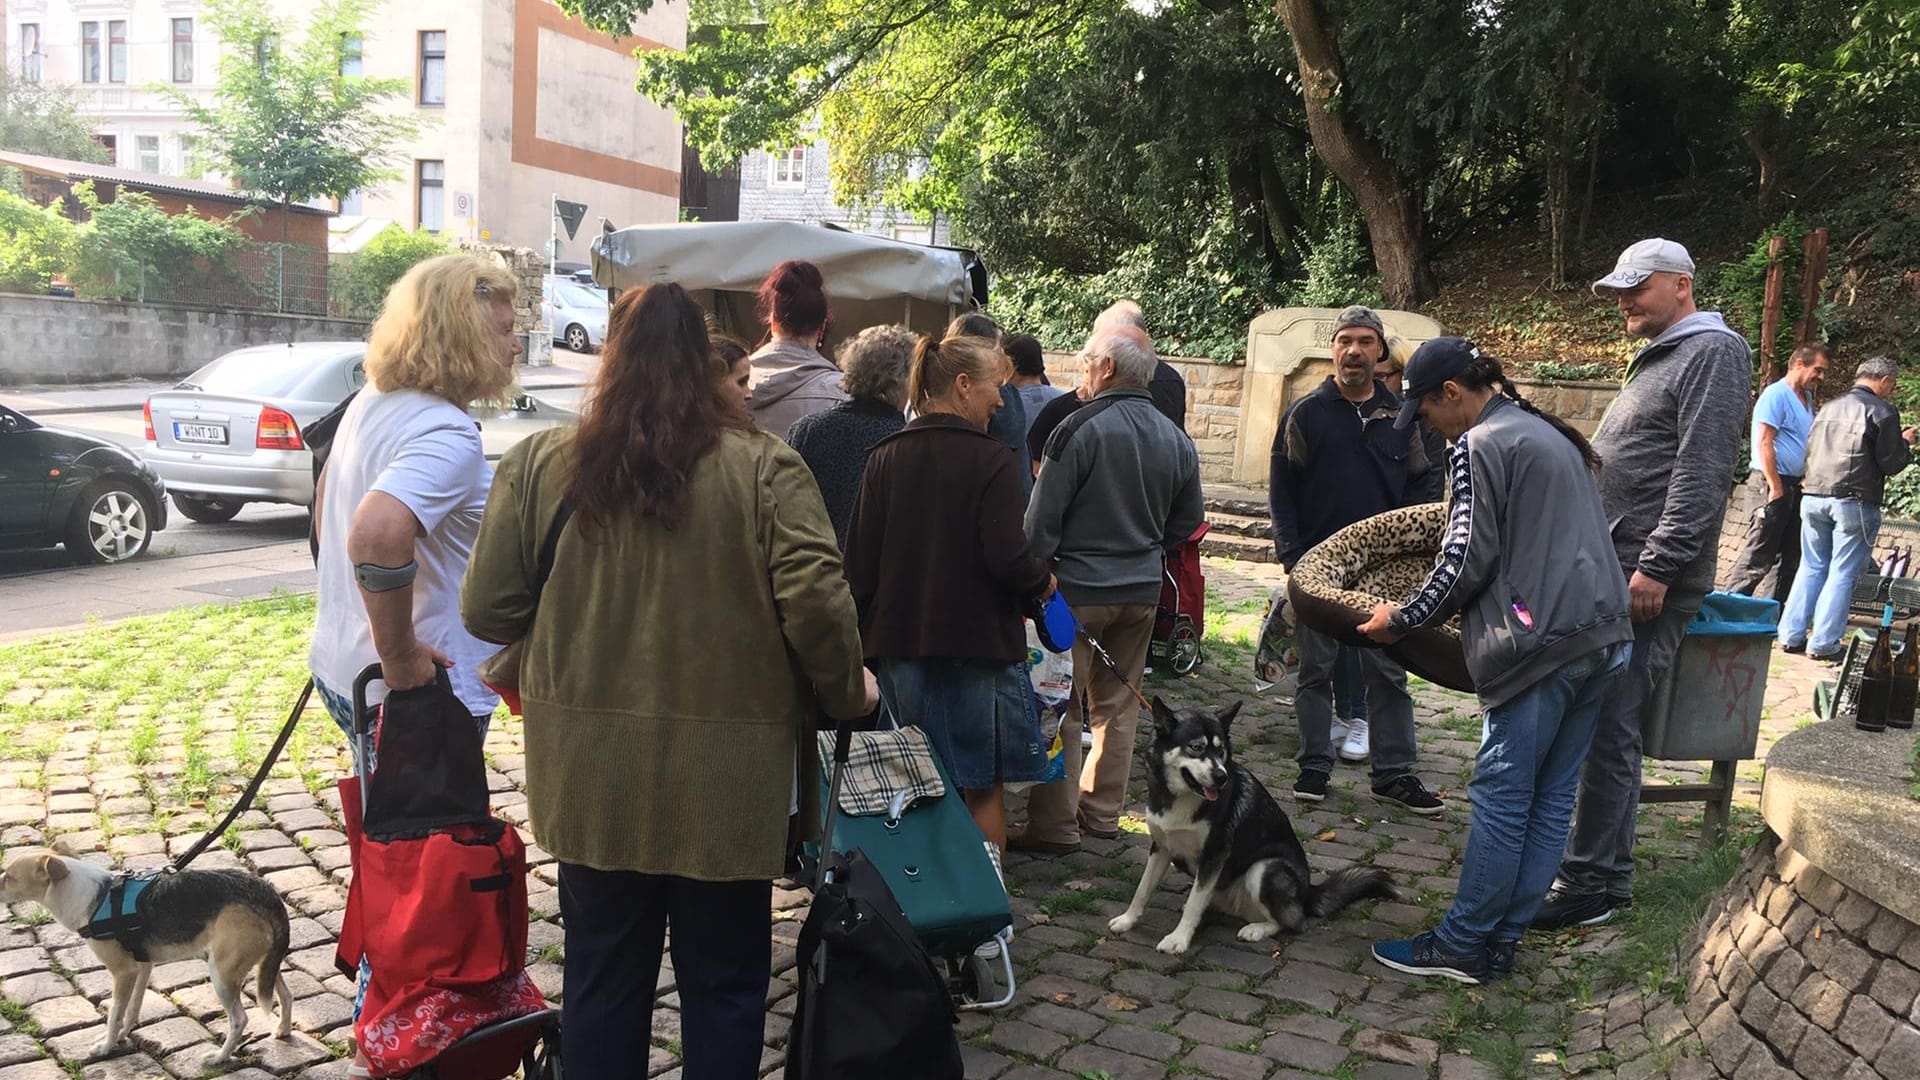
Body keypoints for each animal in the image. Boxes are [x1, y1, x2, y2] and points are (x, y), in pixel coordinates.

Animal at [0, 849, 291, 1060]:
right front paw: (121, 1036)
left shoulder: (123, 972)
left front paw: (106, 1047)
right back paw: (283, 1030)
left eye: (9, 876)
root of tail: (268, 895)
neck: (94, 898)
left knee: (240, 1020)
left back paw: (219, 1058)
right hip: (264, 965)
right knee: (286, 996)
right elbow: (131, 1010)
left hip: (222, 972)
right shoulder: (142, 966)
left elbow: (114, 1014)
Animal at [1113, 699, 1397, 949]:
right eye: (1196, 747)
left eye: (1220, 750)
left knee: (1292, 922)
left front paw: (1179, 940)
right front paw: (1128, 920)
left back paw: (1257, 929)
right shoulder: (1161, 848)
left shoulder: (1214, 855)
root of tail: (1307, 893)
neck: (1182, 798)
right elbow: (1143, 889)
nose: (1221, 777)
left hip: (1265, 869)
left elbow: (1194, 903)